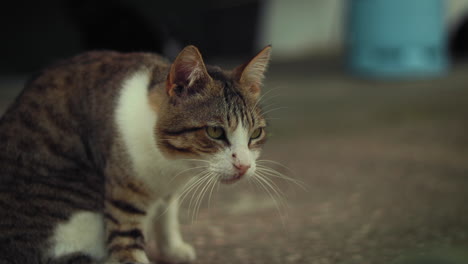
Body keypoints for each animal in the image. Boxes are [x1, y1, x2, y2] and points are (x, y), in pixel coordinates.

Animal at [0, 45, 270, 264]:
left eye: (255, 133)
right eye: (215, 131)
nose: (244, 166)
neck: (173, 163)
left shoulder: (167, 190)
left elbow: (167, 216)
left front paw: (172, 249)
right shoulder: (125, 193)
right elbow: (126, 243)